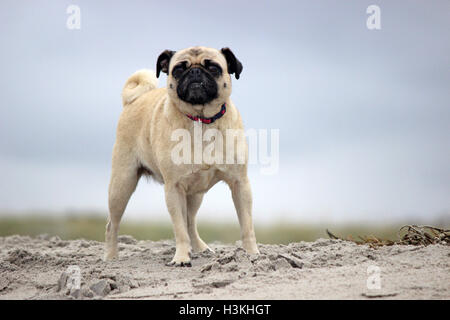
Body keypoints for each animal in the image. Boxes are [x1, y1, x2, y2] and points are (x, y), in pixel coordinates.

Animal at [105, 46, 258, 266]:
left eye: (213, 67)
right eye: (178, 69)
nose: (194, 72)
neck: (201, 120)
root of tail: (132, 101)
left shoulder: (240, 184)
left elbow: (247, 225)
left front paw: (252, 254)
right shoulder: (174, 188)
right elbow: (179, 230)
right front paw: (181, 258)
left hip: (195, 194)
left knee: (190, 221)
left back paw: (201, 248)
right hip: (122, 184)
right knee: (112, 224)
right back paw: (110, 257)